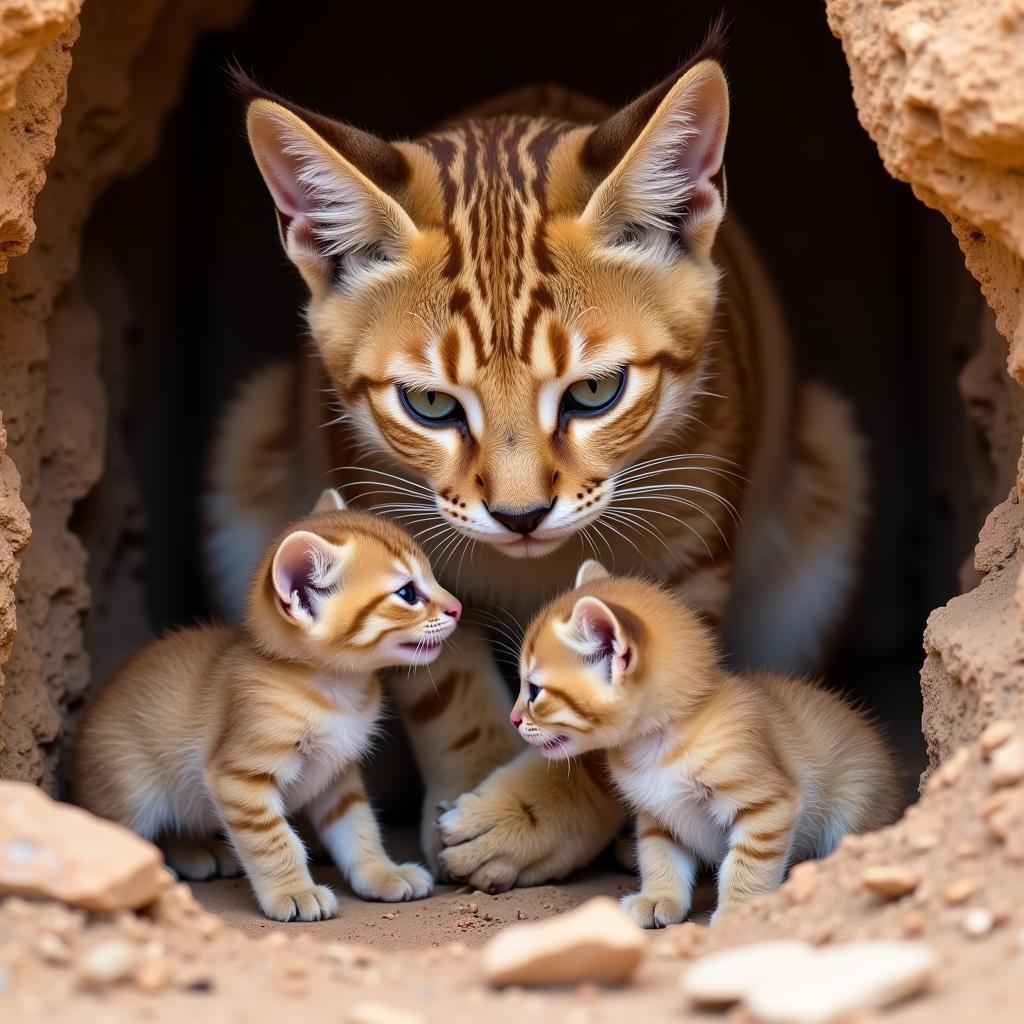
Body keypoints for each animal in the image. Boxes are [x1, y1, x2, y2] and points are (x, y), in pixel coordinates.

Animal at [77, 487, 462, 921]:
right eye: (407, 593)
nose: (457, 608)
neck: (336, 690)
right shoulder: (239, 777)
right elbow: (275, 841)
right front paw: (294, 892)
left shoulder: (337, 775)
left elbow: (359, 827)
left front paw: (382, 874)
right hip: (131, 790)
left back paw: (196, 850)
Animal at [207, 32, 864, 892]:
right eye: (431, 405)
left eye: (594, 391)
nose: (520, 516)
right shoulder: (369, 506)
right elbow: (441, 676)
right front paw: (481, 778)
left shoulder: (696, 544)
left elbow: (633, 688)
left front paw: (527, 818)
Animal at [507, 561, 901, 929]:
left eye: (535, 691)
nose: (513, 720)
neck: (656, 746)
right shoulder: (659, 813)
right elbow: (659, 856)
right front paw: (658, 897)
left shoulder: (768, 803)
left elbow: (747, 862)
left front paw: (741, 910)